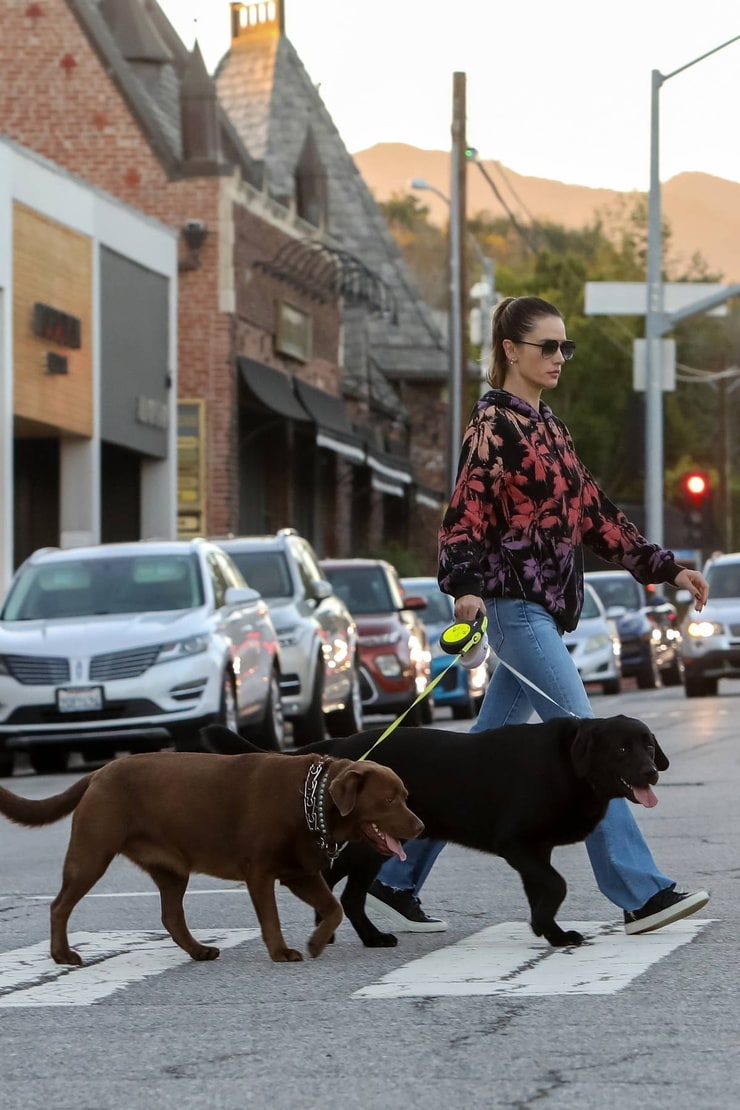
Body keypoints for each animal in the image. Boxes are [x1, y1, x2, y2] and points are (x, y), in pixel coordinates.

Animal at [0, 750, 421, 967]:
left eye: (405, 795)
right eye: (388, 800)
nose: (419, 827)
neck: (311, 800)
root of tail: (98, 773)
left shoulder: (299, 873)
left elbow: (333, 907)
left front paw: (317, 943)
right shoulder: (261, 872)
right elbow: (271, 917)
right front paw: (282, 952)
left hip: (171, 869)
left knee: (171, 916)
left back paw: (199, 950)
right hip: (92, 852)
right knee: (59, 905)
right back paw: (61, 954)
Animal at [204, 714, 670, 950]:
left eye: (648, 744)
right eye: (621, 748)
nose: (651, 772)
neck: (570, 765)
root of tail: (338, 748)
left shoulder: (534, 852)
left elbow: (543, 891)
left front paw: (551, 933)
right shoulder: (517, 844)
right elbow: (556, 887)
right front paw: (543, 928)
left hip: (374, 845)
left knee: (344, 890)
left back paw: (351, 933)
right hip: (369, 844)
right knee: (340, 887)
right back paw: (354, 934)